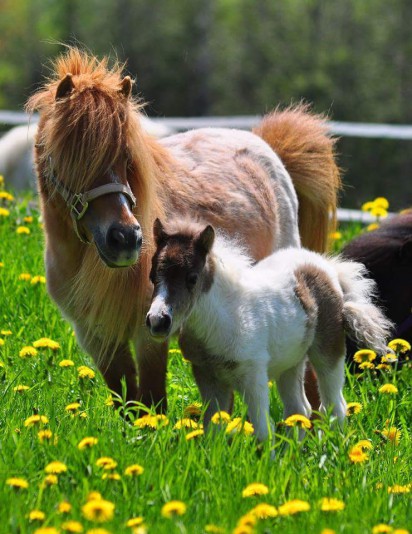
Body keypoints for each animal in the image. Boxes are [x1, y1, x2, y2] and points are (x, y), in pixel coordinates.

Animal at [27, 48, 340, 412]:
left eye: (127, 158)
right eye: (72, 159)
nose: (125, 239)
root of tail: (265, 147)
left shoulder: (148, 333)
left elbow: (152, 399)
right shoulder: (96, 336)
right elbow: (126, 402)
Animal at [146, 220, 392, 442]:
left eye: (192, 278)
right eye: (152, 276)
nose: (158, 321)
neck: (223, 317)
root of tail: (325, 266)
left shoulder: (253, 374)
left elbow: (263, 429)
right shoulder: (207, 375)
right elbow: (213, 429)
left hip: (327, 353)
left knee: (334, 406)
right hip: (291, 362)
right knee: (299, 409)